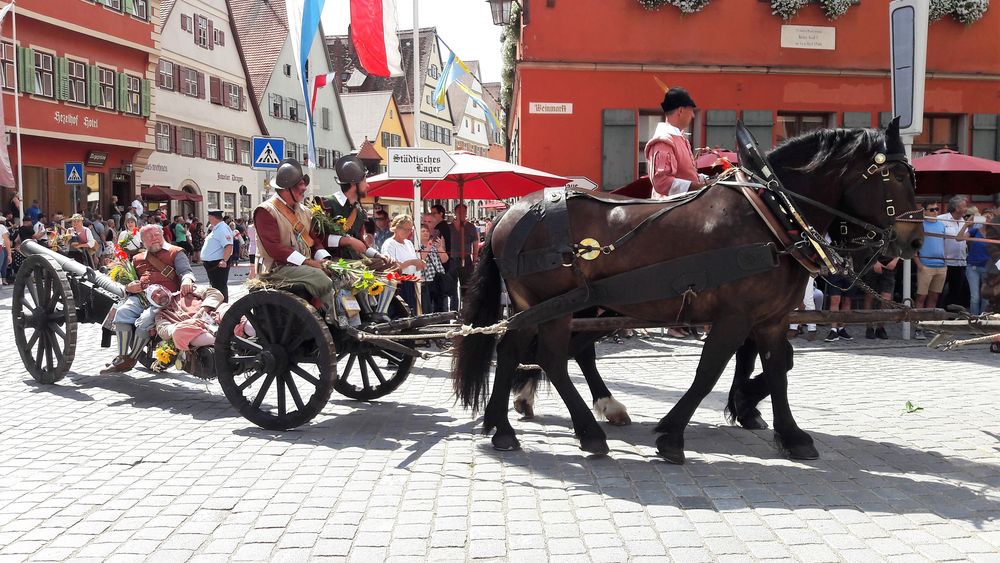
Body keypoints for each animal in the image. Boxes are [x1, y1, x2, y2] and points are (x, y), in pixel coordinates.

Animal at [454, 121, 920, 464]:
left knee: (516, 350)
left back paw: (504, 426)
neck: (772, 214)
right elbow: (709, 372)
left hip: (541, 305)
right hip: (557, 305)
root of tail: (510, 213)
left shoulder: (770, 319)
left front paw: (789, 433)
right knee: (551, 355)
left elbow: (778, 368)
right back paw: (586, 429)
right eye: (898, 174)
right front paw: (673, 433)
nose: (913, 241)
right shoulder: (734, 316)